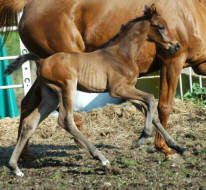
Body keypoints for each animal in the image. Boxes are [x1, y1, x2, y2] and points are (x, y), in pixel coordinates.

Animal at [1, 0, 206, 160]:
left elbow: (149, 108)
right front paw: (157, 144)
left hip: (49, 88)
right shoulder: (168, 64)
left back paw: (22, 156)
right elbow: (159, 103)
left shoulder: (129, 88)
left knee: (29, 106)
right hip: (66, 84)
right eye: (161, 26)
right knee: (64, 117)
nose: (176, 45)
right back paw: (93, 152)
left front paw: (174, 145)